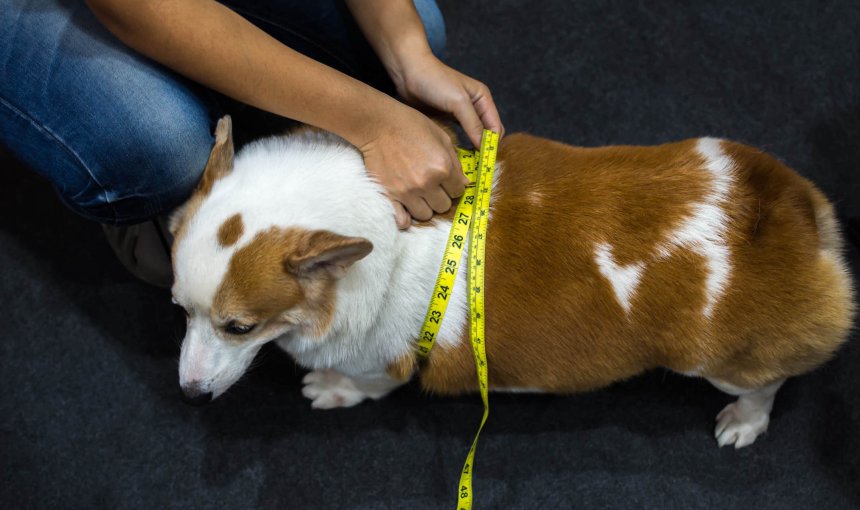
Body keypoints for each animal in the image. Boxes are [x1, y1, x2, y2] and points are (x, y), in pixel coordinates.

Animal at [170, 114, 852, 446]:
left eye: (239, 327)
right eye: (179, 309)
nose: (189, 397)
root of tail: (788, 210)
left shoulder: (382, 362)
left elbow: (366, 385)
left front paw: (330, 389)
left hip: (719, 363)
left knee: (769, 382)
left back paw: (744, 422)